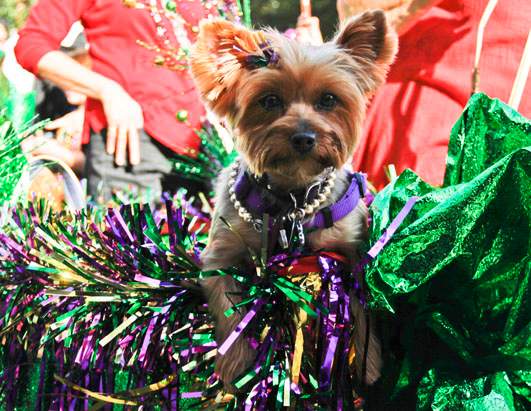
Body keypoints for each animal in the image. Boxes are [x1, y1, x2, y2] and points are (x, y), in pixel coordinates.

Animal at [192, 11, 400, 392]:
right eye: (269, 100)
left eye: (329, 100)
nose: (304, 137)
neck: (291, 200)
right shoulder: (221, 255)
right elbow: (230, 307)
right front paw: (236, 365)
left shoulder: (352, 252)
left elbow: (361, 311)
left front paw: (369, 365)